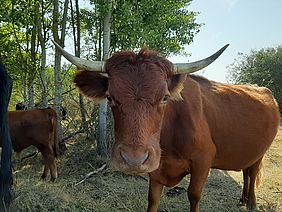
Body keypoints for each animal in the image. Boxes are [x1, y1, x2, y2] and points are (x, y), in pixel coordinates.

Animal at [54, 41, 280, 212]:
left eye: (164, 98)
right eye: (110, 97)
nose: (133, 160)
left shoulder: (203, 162)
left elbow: (194, 196)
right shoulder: (156, 169)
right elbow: (153, 200)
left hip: (261, 151)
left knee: (252, 171)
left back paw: (251, 202)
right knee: (246, 171)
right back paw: (243, 199)